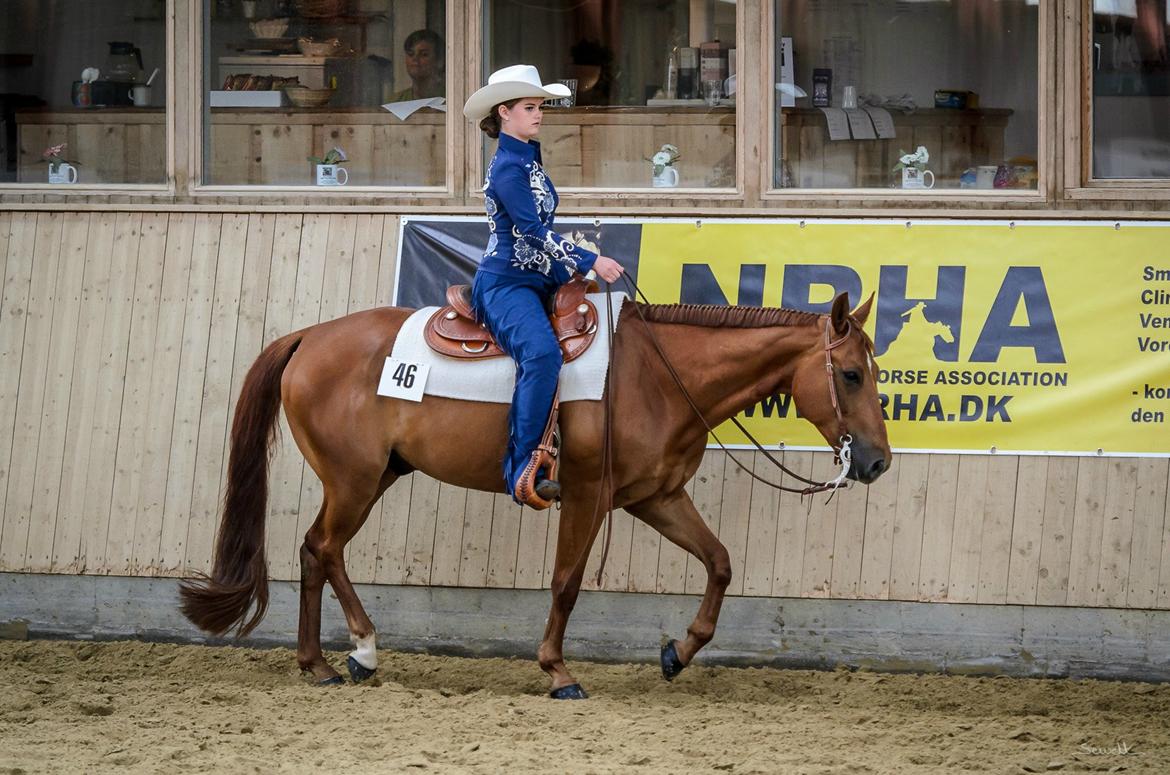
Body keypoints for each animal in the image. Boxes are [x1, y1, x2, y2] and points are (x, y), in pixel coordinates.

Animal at [180, 290, 884, 697]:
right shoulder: (589, 494)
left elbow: (719, 562)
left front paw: (677, 654)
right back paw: (364, 651)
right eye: (850, 374)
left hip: (374, 476)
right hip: (353, 479)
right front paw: (557, 670)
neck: (655, 376)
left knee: (311, 549)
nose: (876, 461)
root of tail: (309, 337)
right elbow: (567, 582)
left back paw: (319, 663)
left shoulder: (655, 497)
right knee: (326, 548)